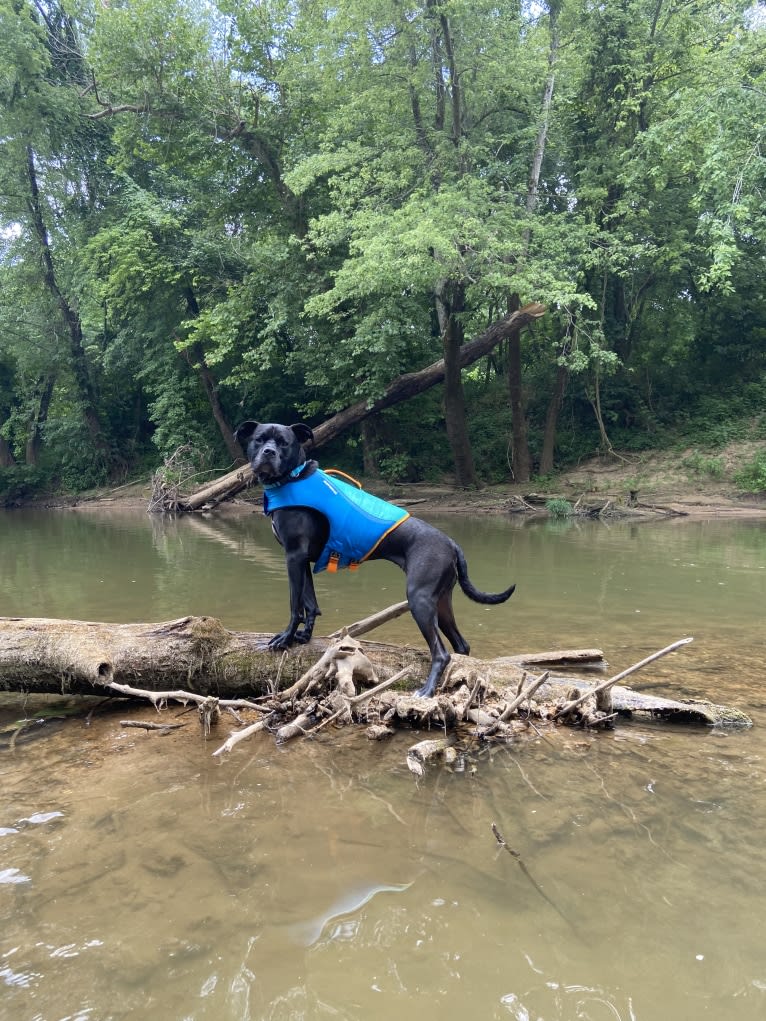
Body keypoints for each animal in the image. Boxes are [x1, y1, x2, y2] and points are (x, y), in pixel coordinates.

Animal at [235, 418, 516, 698]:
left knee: (441, 653)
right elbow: (310, 602)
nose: (268, 452)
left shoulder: (293, 555)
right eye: (259, 439)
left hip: (420, 599)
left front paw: (285, 638)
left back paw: (426, 690)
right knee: (461, 646)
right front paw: (303, 637)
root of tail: (451, 543)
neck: (293, 478)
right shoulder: (302, 560)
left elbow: (295, 605)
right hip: (442, 601)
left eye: (284, 442)